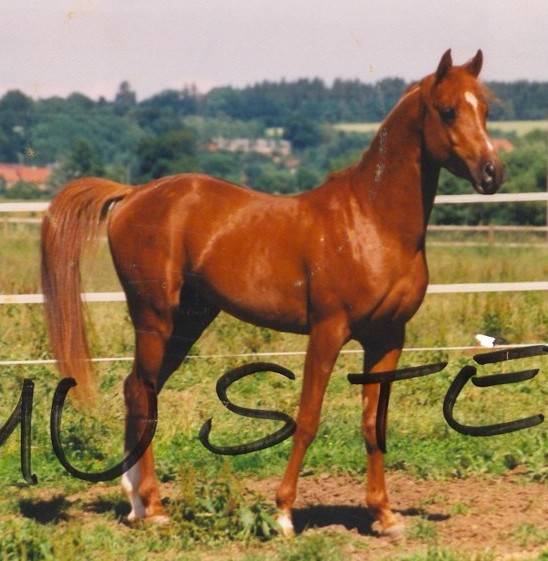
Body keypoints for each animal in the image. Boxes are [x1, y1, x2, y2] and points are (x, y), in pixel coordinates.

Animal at [40, 50, 504, 536]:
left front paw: (384, 515)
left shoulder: (388, 338)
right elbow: (307, 418)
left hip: (187, 322)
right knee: (143, 393)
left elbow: (373, 424)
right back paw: (154, 505)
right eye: (448, 110)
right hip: (155, 320)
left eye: (486, 110)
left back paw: (135, 503)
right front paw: (283, 513)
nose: (493, 173)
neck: (371, 221)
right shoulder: (328, 331)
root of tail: (131, 194)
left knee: (136, 390)